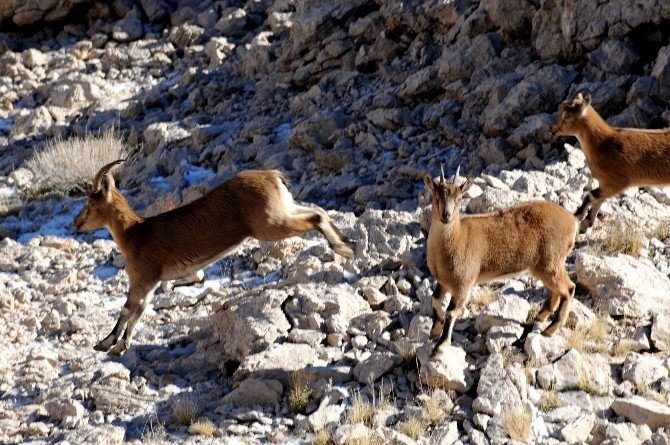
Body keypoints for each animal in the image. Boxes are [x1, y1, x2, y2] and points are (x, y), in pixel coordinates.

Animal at [74, 160, 356, 354]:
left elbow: (129, 308)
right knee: (319, 211)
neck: (134, 233)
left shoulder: (142, 277)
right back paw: (349, 244)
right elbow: (139, 310)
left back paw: (343, 249)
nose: (76, 222)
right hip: (284, 210)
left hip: (271, 224)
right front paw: (118, 344)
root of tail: (274, 176)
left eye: (89, 205)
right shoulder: (152, 282)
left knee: (316, 217)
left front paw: (110, 343)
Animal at [426, 166, 576, 354]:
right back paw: (541, 316)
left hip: (550, 264)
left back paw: (550, 330)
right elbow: (435, 299)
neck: (454, 241)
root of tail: (573, 222)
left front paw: (440, 346)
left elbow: (451, 312)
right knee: (557, 291)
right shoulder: (444, 281)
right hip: (546, 267)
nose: (446, 216)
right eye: (436, 196)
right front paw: (434, 330)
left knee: (569, 289)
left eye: (460, 199)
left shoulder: (462, 284)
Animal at [552, 92, 670, 234]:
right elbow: (598, 199)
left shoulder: (617, 183)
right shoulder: (605, 183)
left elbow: (591, 195)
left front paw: (578, 217)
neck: (603, 145)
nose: (551, 129)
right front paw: (585, 224)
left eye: (567, 116)